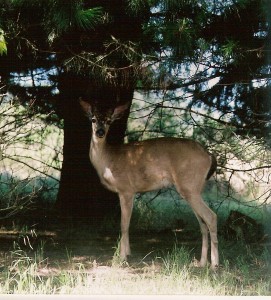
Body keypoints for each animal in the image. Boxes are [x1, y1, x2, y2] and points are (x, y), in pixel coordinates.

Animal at [79, 98, 220, 270]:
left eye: (108, 121)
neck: (108, 160)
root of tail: (209, 155)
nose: (100, 132)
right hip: (194, 189)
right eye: (93, 119)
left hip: (189, 186)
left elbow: (124, 224)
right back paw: (201, 262)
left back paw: (214, 265)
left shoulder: (126, 189)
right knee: (203, 223)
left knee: (211, 217)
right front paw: (128, 253)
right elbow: (127, 223)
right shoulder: (129, 192)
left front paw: (121, 257)